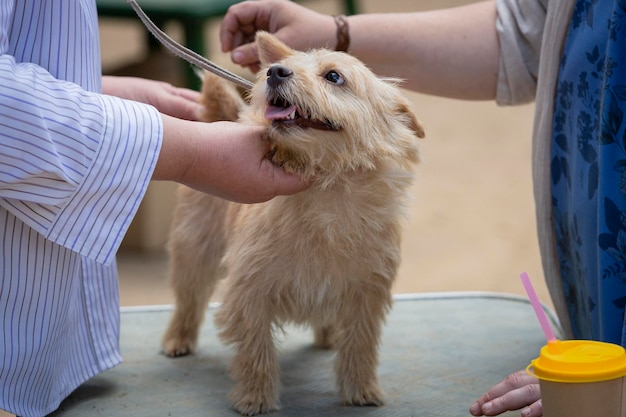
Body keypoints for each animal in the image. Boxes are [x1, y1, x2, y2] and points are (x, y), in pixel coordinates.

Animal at [161, 30, 424, 414]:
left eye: (334, 76)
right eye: (279, 66)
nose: (274, 71)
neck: (327, 190)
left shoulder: (366, 294)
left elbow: (360, 345)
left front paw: (361, 389)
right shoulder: (250, 290)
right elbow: (256, 350)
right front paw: (255, 397)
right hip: (194, 248)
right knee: (188, 298)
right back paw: (177, 338)